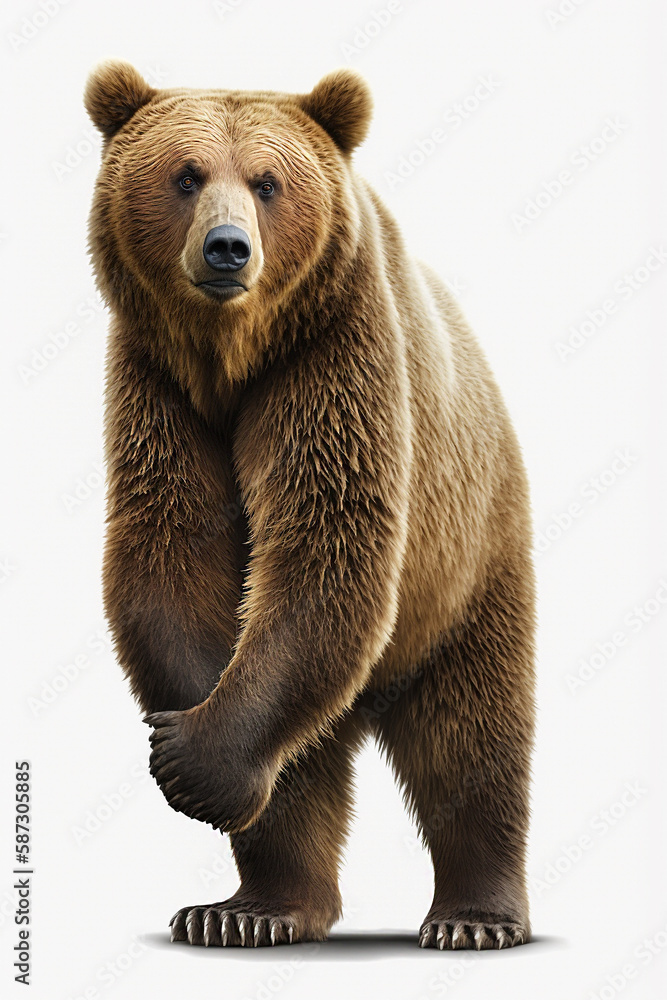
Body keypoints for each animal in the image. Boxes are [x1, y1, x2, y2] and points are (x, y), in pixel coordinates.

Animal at [85, 60, 536, 951]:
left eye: (267, 181)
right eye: (186, 174)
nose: (227, 248)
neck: (231, 357)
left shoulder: (333, 358)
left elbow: (325, 548)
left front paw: (195, 759)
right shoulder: (158, 390)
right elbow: (169, 553)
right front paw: (187, 745)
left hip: (468, 568)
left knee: (473, 738)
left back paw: (473, 917)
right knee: (307, 770)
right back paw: (250, 910)